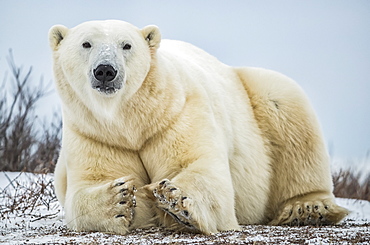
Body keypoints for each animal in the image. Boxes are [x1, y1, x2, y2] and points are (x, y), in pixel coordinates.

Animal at [48, 20, 346, 234]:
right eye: (86, 43)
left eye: (127, 45)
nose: (105, 71)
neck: (132, 122)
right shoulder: (95, 133)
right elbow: (90, 184)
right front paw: (118, 199)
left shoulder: (178, 114)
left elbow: (202, 168)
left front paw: (176, 199)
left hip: (258, 93)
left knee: (286, 106)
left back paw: (307, 208)